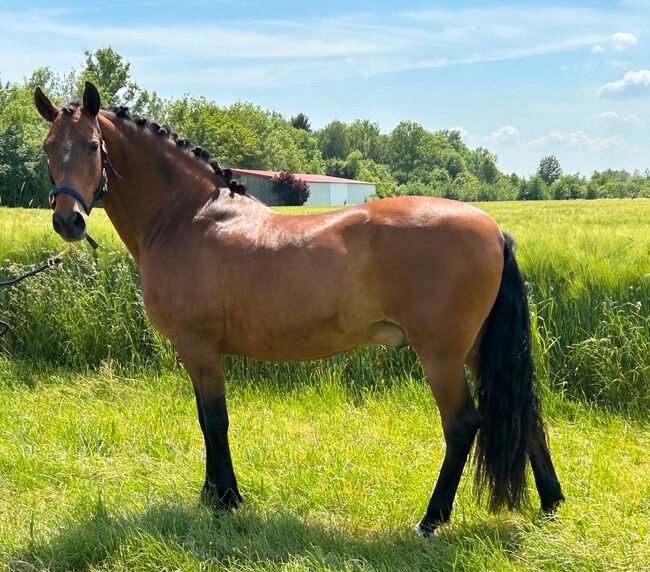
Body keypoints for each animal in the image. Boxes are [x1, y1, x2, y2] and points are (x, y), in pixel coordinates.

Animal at [34, 82, 560, 536]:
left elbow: (214, 420)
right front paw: (212, 494)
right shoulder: (199, 351)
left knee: (462, 425)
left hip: (442, 355)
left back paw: (431, 519)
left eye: (92, 146)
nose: (68, 221)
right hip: (477, 348)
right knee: (527, 414)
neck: (188, 216)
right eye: (47, 147)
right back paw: (552, 503)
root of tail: (494, 230)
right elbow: (207, 419)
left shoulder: (198, 347)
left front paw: (226, 499)